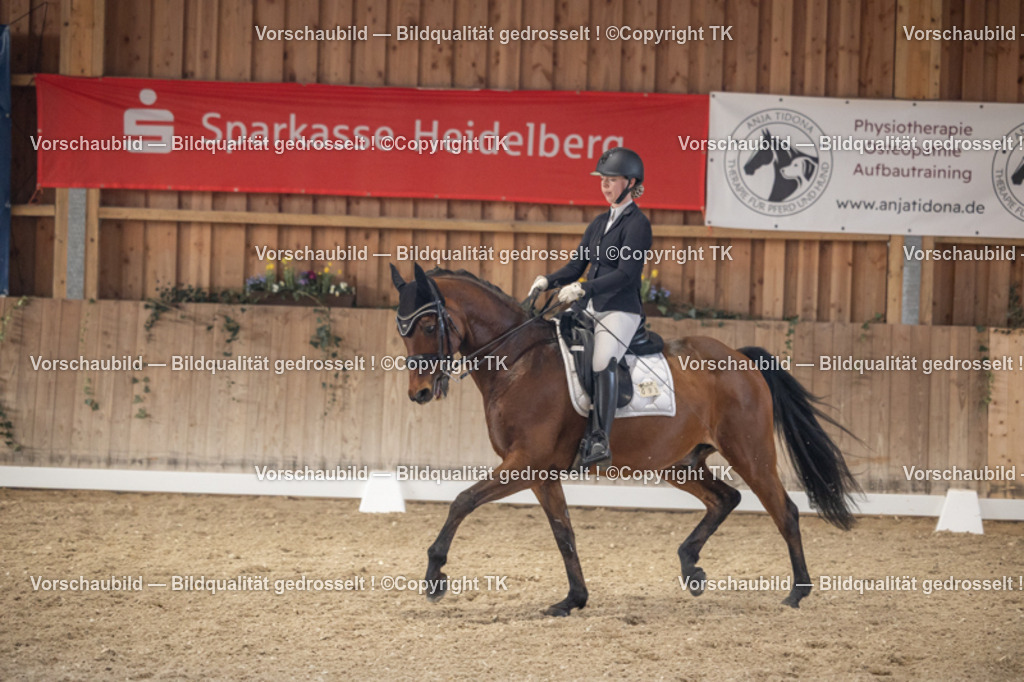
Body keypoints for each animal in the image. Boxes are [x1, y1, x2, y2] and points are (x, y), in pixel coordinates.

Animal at [389, 263, 860, 616]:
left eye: (429, 324)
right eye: (401, 330)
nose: (419, 393)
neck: (519, 361)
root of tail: (740, 358)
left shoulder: (525, 462)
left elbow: (462, 500)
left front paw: (435, 575)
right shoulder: (541, 472)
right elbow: (563, 533)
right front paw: (573, 599)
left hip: (750, 453)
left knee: (785, 511)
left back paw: (797, 592)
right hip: (679, 462)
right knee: (725, 498)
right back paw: (691, 566)